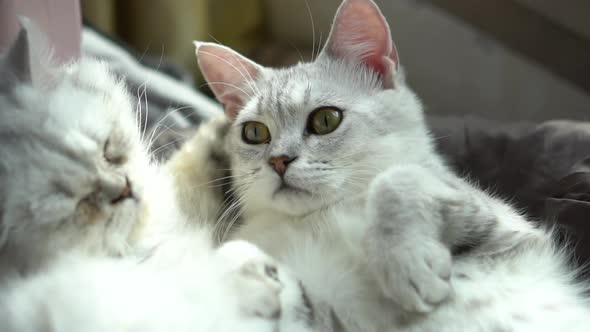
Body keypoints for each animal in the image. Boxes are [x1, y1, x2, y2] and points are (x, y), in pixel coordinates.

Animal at [173, 0, 590, 328]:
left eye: (326, 120)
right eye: (255, 133)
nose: (278, 160)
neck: (320, 219)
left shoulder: (509, 232)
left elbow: (398, 179)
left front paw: (406, 263)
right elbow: (237, 256)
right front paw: (252, 280)